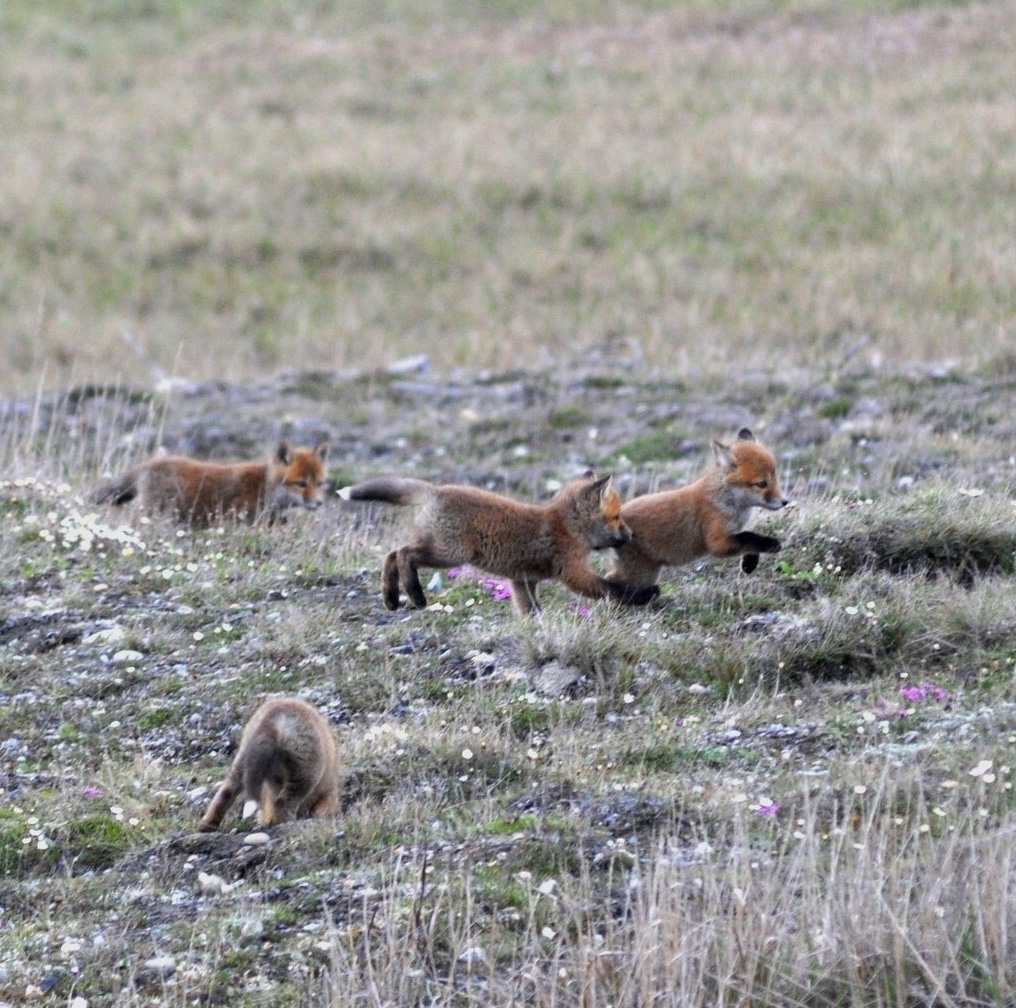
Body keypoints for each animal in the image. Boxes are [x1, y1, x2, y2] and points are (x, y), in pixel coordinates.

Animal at [90, 440, 329, 526]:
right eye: (301, 484)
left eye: (320, 483)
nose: (319, 503)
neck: (265, 488)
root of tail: (147, 464)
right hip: (159, 513)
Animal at [198, 696, 341, 831]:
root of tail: (272, 718)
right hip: (304, 772)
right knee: (283, 801)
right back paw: (284, 822)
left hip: (242, 758)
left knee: (225, 792)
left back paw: (207, 825)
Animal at [338, 473, 660, 616]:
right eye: (617, 517)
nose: (631, 534)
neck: (566, 527)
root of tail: (437, 490)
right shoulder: (572, 573)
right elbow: (611, 589)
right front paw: (642, 596)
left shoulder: (522, 580)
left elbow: (530, 608)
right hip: (451, 553)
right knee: (403, 553)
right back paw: (415, 594)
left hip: (442, 550)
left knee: (392, 554)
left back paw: (391, 597)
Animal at [606, 428, 790, 588]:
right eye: (762, 484)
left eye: (775, 479)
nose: (785, 501)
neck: (727, 502)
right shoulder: (716, 541)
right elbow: (748, 537)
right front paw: (769, 544)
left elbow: (749, 541)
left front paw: (749, 563)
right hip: (643, 574)